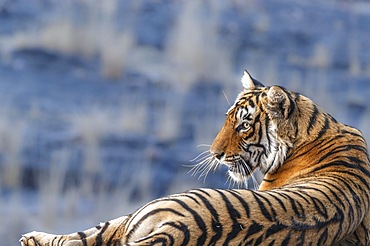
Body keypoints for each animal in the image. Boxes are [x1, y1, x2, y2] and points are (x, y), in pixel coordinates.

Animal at [21, 70, 370, 245]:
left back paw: (32, 237)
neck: (315, 128)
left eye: (244, 125)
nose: (216, 154)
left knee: (90, 235)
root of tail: (180, 230)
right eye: (228, 119)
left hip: (150, 207)